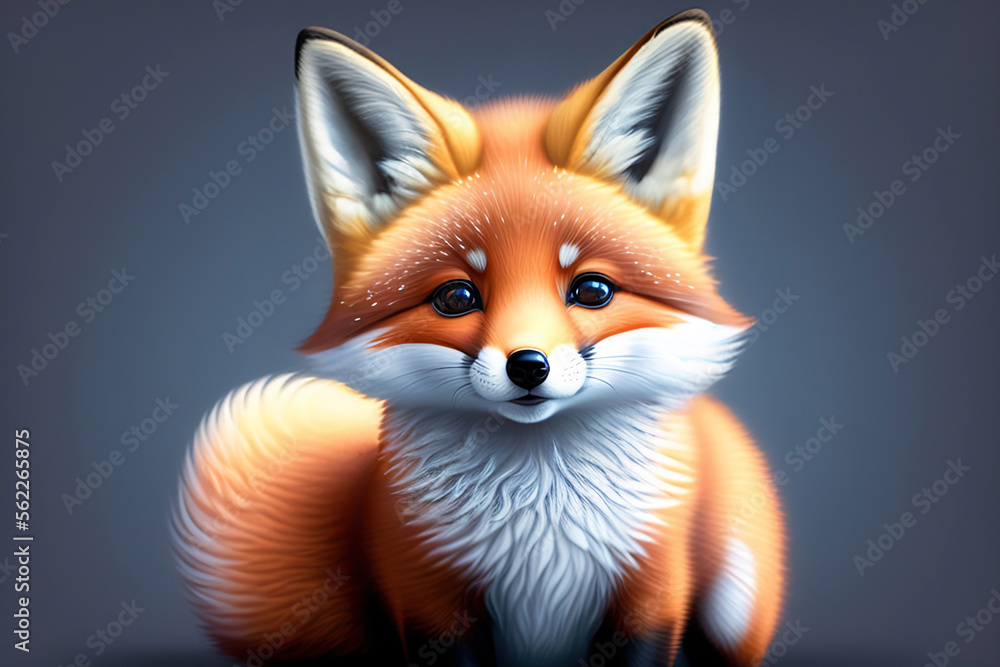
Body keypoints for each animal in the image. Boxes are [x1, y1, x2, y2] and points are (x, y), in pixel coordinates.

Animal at [171, 9, 785, 667]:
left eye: (592, 290)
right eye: (456, 298)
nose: (529, 365)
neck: (542, 521)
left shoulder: (653, 588)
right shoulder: (429, 593)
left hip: (735, 601)